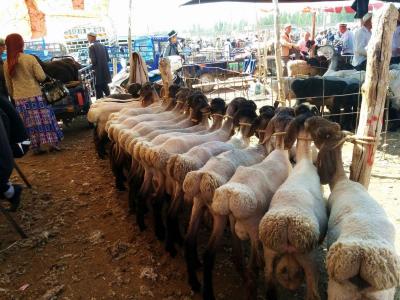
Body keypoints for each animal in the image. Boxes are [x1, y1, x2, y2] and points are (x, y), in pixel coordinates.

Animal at [258, 106, 326, 300]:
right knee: (312, 289)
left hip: (269, 251)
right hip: (308, 256)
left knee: (268, 277)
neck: (304, 161)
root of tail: (287, 223)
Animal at [304, 116, 398, 300]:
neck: (341, 180)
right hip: (382, 295)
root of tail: (364, 258)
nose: (308, 119)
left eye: (322, 132)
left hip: (338, 292)